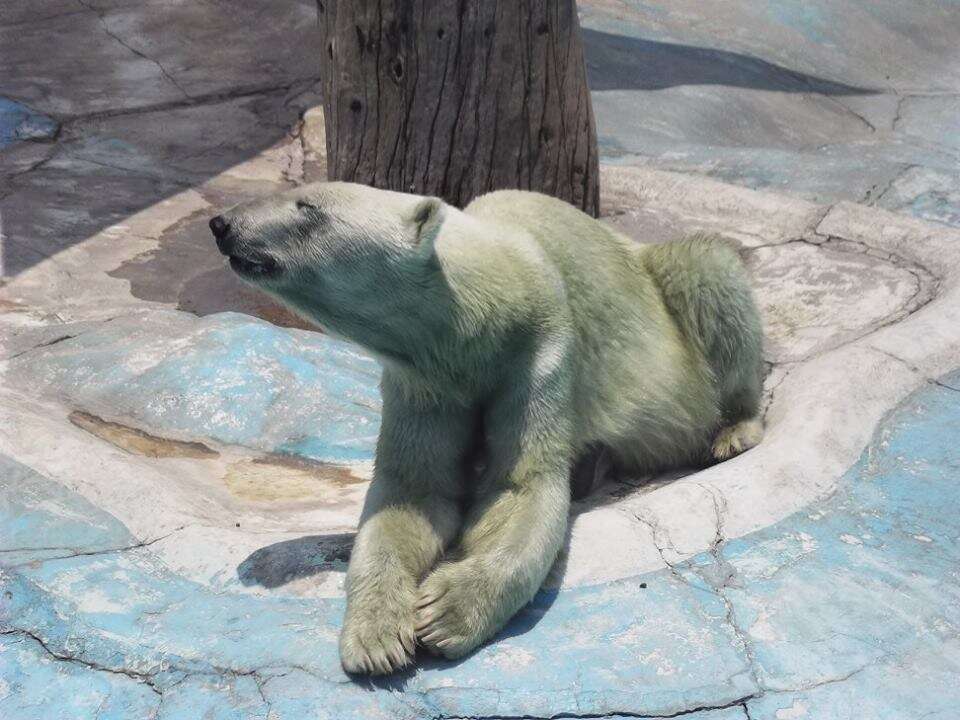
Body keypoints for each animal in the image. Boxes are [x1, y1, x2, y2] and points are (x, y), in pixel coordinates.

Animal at [210, 181, 764, 676]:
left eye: (307, 206)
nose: (223, 224)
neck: (477, 319)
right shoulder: (425, 382)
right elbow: (412, 492)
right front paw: (376, 638)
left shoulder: (542, 349)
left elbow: (521, 486)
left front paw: (444, 612)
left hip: (667, 294)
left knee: (708, 270)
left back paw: (733, 431)